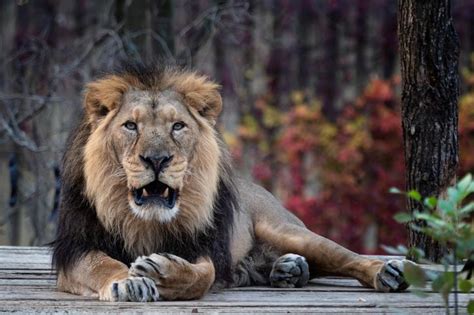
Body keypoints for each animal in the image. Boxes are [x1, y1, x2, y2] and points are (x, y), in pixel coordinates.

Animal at [51, 63, 408, 302]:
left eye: (178, 126)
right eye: (130, 125)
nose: (157, 159)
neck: (144, 221)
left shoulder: (202, 245)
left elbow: (203, 275)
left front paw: (161, 272)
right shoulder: (75, 249)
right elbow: (102, 265)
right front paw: (129, 281)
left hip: (286, 229)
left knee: (344, 256)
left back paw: (386, 272)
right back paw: (287, 269)